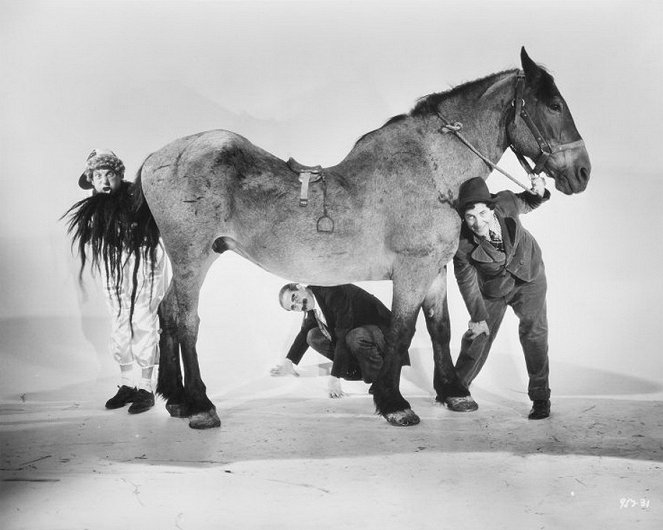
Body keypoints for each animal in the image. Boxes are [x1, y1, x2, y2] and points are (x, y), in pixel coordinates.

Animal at [135, 47, 592, 428]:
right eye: (553, 104)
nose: (582, 171)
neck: (431, 169)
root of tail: (157, 157)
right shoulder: (411, 270)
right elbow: (402, 331)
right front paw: (394, 402)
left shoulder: (435, 270)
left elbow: (440, 328)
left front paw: (453, 393)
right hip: (193, 258)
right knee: (186, 321)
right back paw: (200, 405)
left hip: (189, 259)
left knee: (166, 313)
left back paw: (176, 399)